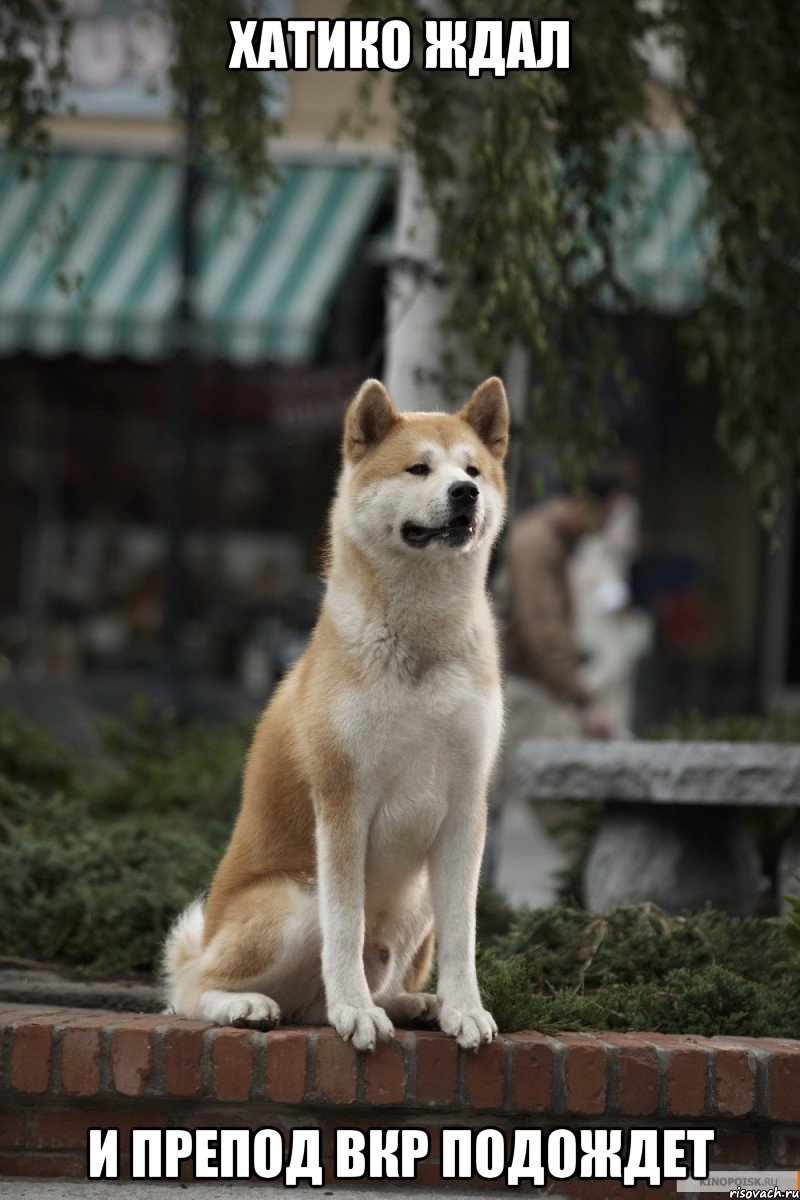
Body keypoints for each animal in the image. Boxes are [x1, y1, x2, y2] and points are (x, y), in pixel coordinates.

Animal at [165, 376, 510, 1051]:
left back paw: (415, 1004)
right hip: (296, 900)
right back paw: (250, 1005)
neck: (420, 644)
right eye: (418, 468)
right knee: (189, 990)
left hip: (417, 900)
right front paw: (355, 1011)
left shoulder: (466, 807)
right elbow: (346, 928)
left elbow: (465, 935)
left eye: (473, 470)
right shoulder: (343, 801)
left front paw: (464, 1008)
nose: (466, 493)